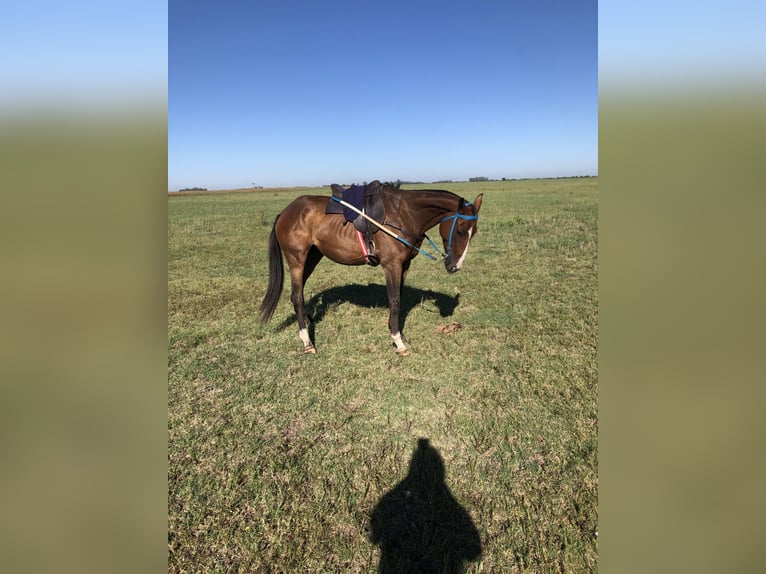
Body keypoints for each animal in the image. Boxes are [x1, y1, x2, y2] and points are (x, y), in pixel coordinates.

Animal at [260, 180, 484, 356]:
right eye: (461, 231)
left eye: (473, 233)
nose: (454, 266)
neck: (404, 215)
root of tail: (285, 212)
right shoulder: (391, 265)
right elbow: (394, 300)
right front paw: (398, 341)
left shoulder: (404, 265)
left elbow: (399, 297)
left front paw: (396, 332)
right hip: (296, 260)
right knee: (296, 296)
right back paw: (307, 341)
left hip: (312, 257)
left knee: (299, 294)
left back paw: (307, 321)